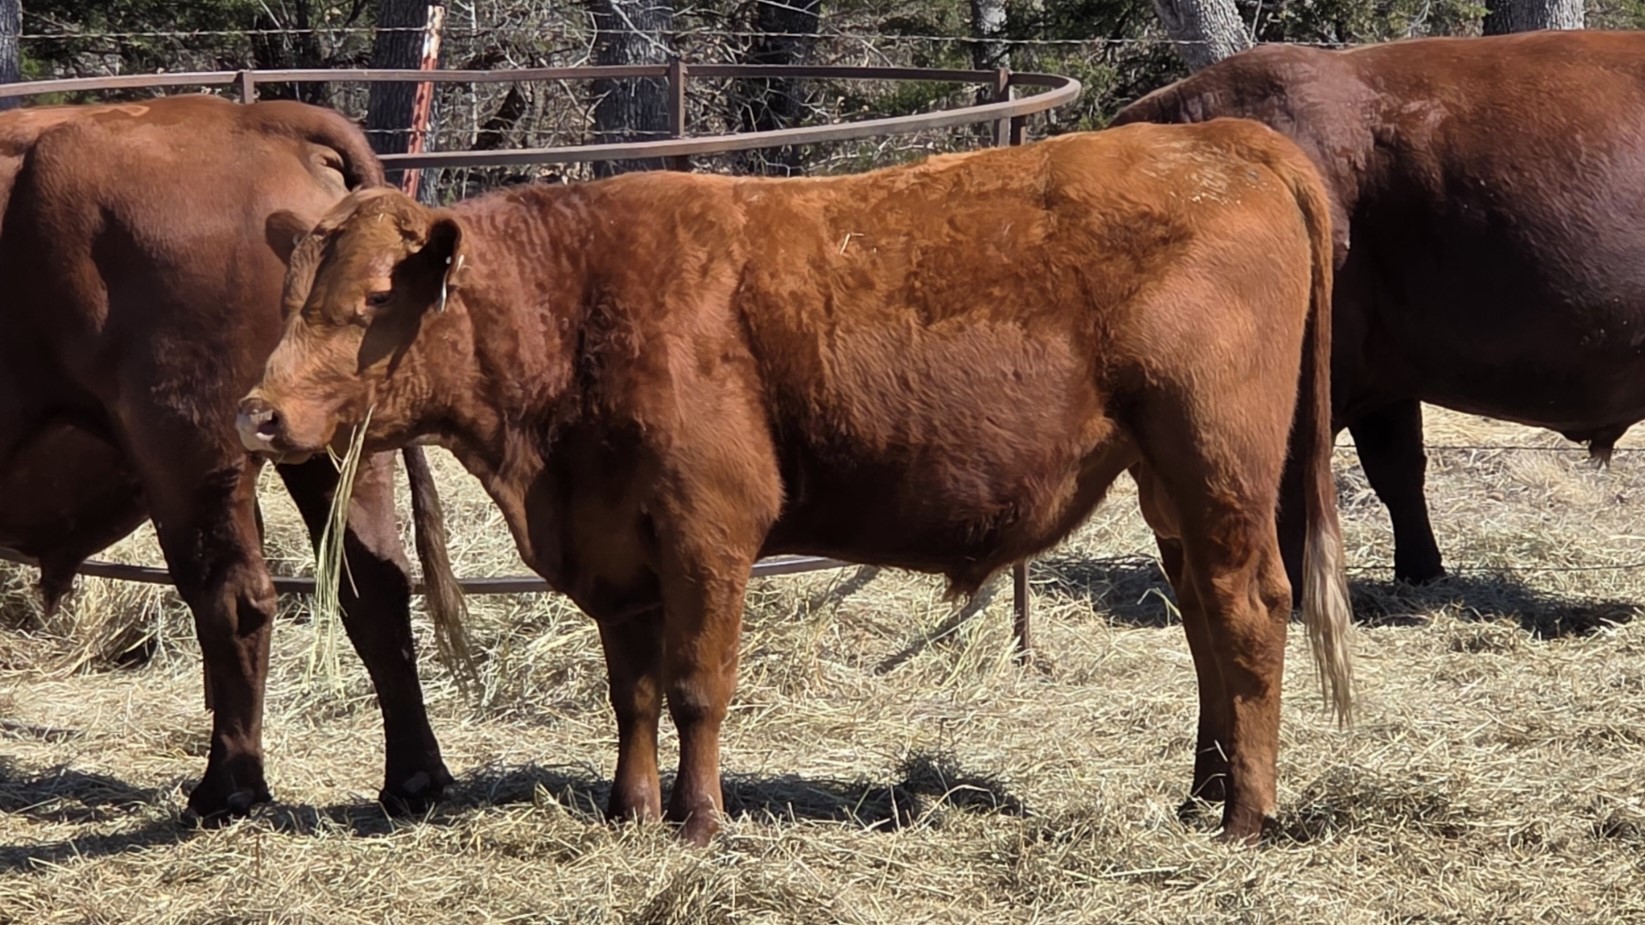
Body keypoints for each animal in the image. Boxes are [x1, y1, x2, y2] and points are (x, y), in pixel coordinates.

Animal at [0, 94, 456, 822]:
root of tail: (263, 119)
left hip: (192, 451)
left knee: (234, 597)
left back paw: (227, 787)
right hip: (335, 450)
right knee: (374, 581)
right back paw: (413, 780)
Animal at [235, 118, 1356, 844]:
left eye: (372, 298)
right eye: (288, 298)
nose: (259, 413)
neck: (577, 300)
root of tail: (1218, 137)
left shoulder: (707, 530)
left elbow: (696, 685)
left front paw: (698, 820)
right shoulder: (613, 544)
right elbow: (632, 691)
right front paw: (629, 811)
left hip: (1216, 464)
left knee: (1249, 609)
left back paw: (1245, 814)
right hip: (1170, 483)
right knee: (1205, 619)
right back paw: (1201, 791)